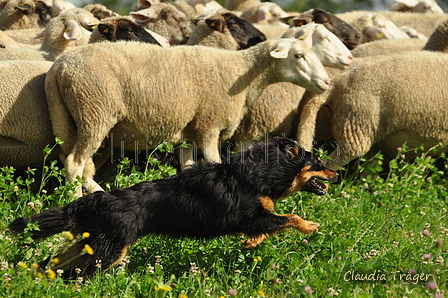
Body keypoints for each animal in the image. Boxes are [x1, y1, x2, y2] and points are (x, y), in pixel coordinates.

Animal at [9, 137, 336, 278]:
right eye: (319, 163)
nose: (336, 174)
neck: (266, 170)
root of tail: (95, 200)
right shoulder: (251, 215)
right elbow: (288, 217)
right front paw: (311, 226)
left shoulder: (256, 217)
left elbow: (272, 224)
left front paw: (252, 243)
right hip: (110, 251)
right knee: (72, 271)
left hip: (92, 243)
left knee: (52, 262)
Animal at [44, 38, 328, 197]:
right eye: (298, 55)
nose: (326, 82)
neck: (243, 74)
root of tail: (59, 68)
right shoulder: (209, 124)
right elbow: (215, 162)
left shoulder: (190, 131)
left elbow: (189, 167)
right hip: (95, 111)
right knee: (75, 163)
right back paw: (78, 199)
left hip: (69, 117)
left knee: (72, 161)